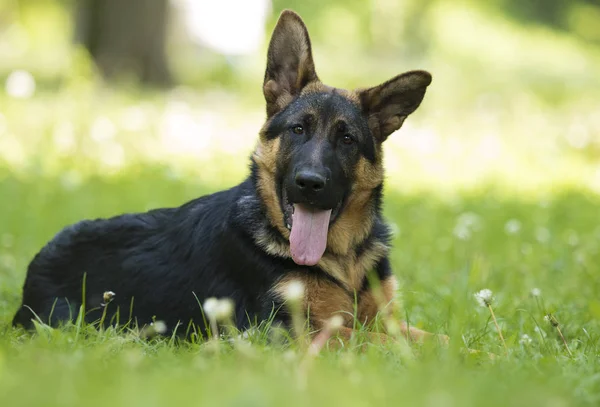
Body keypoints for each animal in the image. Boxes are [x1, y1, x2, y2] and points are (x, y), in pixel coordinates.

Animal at [11, 9, 434, 344]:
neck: (341, 259)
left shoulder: (383, 317)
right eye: (298, 129)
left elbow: (427, 336)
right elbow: (378, 340)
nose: (310, 184)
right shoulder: (284, 329)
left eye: (347, 139)